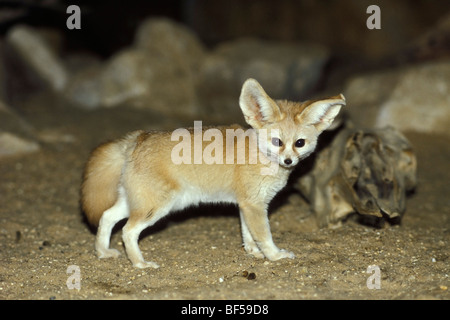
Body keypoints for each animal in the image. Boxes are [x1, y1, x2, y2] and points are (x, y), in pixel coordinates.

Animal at [82, 79, 346, 268]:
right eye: (277, 142)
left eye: (300, 143)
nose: (288, 160)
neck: (259, 154)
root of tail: (136, 138)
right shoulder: (254, 205)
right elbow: (263, 235)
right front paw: (274, 255)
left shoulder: (246, 204)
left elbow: (248, 234)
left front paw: (253, 252)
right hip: (156, 207)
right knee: (127, 231)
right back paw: (140, 264)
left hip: (136, 203)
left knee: (106, 217)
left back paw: (102, 252)